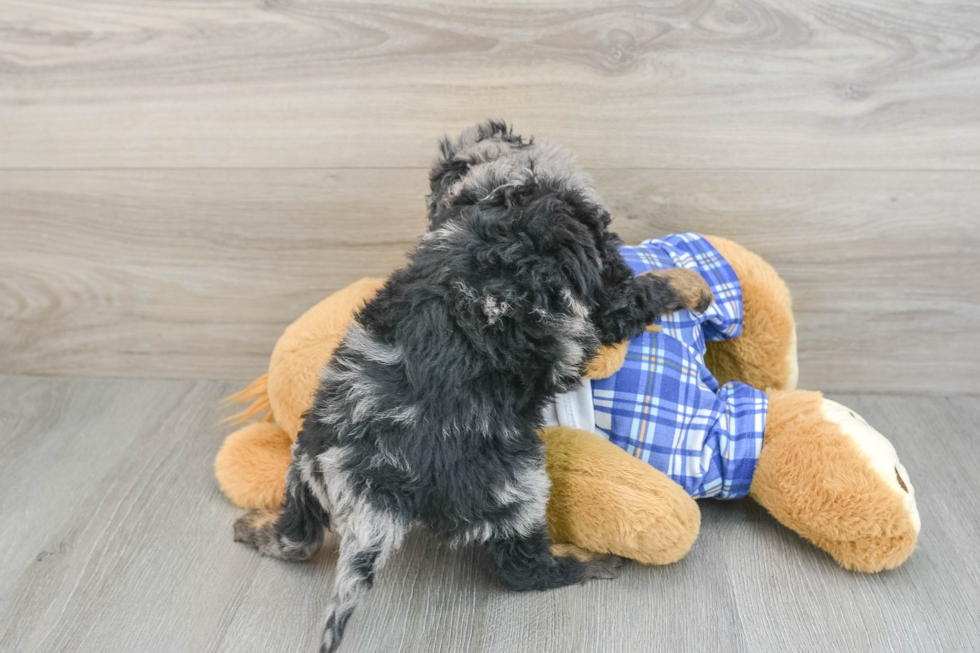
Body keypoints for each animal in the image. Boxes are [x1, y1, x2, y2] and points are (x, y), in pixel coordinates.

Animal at [235, 119, 712, 648]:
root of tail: (378, 479)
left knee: (298, 536)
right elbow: (647, 288)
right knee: (523, 568)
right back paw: (585, 560)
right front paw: (693, 284)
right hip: (513, 485)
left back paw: (255, 526)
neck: (503, 194)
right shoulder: (606, 294)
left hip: (306, 462)